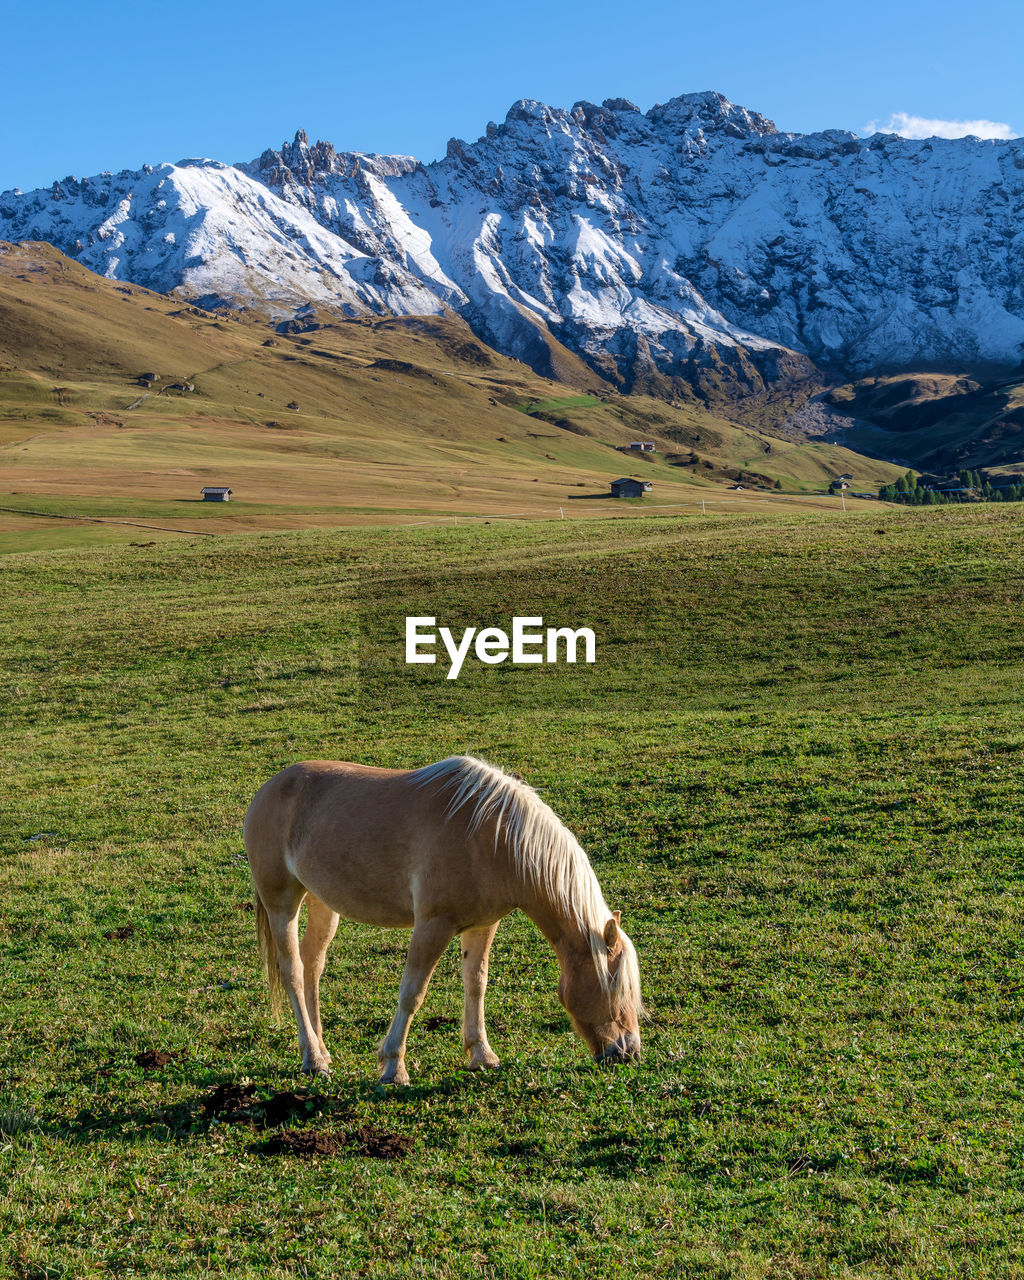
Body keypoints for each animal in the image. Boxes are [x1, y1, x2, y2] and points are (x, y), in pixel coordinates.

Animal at [241, 752, 640, 1085]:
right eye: (617, 991)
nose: (629, 1052)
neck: (493, 837)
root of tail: (268, 789)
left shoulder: (482, 925)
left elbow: (476, 983)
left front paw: (482, 1055)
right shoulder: (433, 925)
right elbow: (412, 994)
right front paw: (393, 1067)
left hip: (323, 904)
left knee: (312, 966)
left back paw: (321, 1050)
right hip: (282, 903)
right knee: (292, 971)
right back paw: (312, 1058)